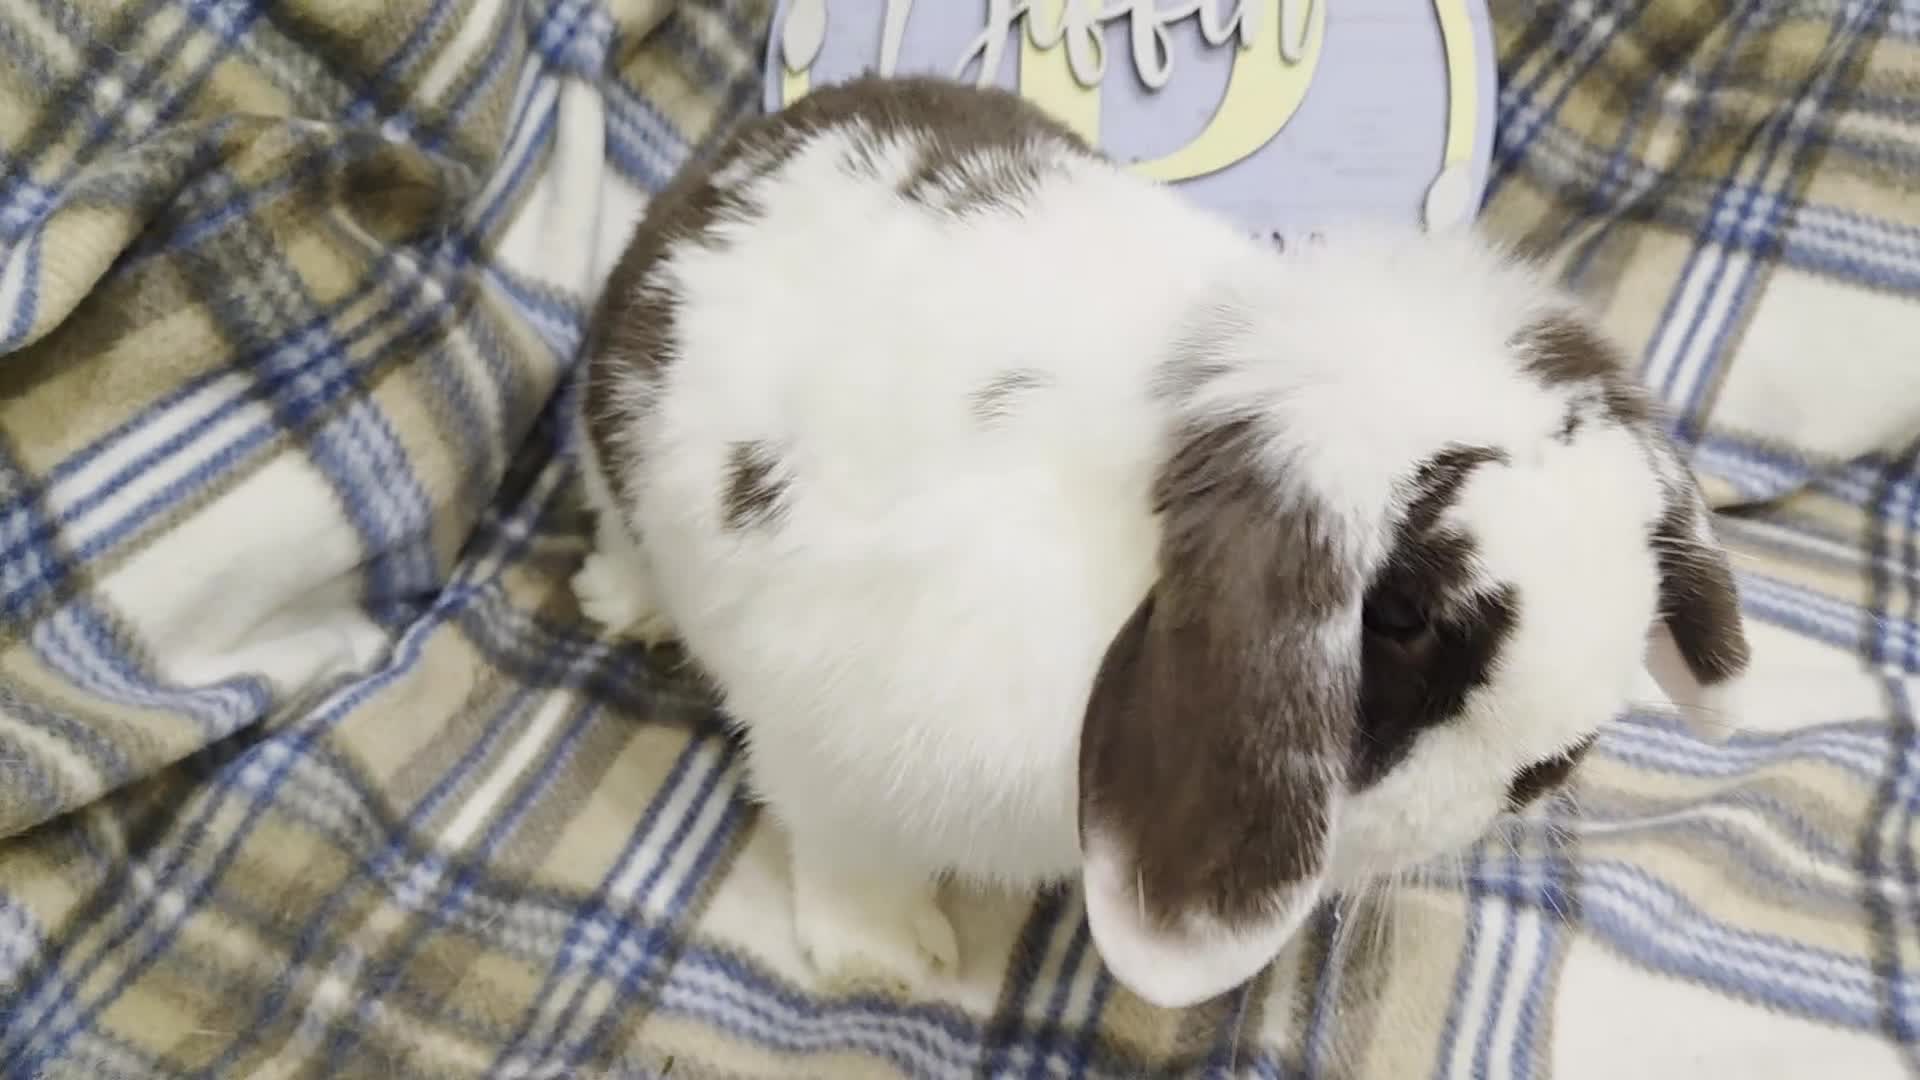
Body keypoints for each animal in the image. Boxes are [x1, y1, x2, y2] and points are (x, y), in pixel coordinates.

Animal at [569, 76, 1751, 1010]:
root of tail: (728, 161)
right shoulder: (833, 756)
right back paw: (624, 609)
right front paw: (888, 966)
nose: (1553, 767)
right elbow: (854, 865)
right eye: (1405, 614)